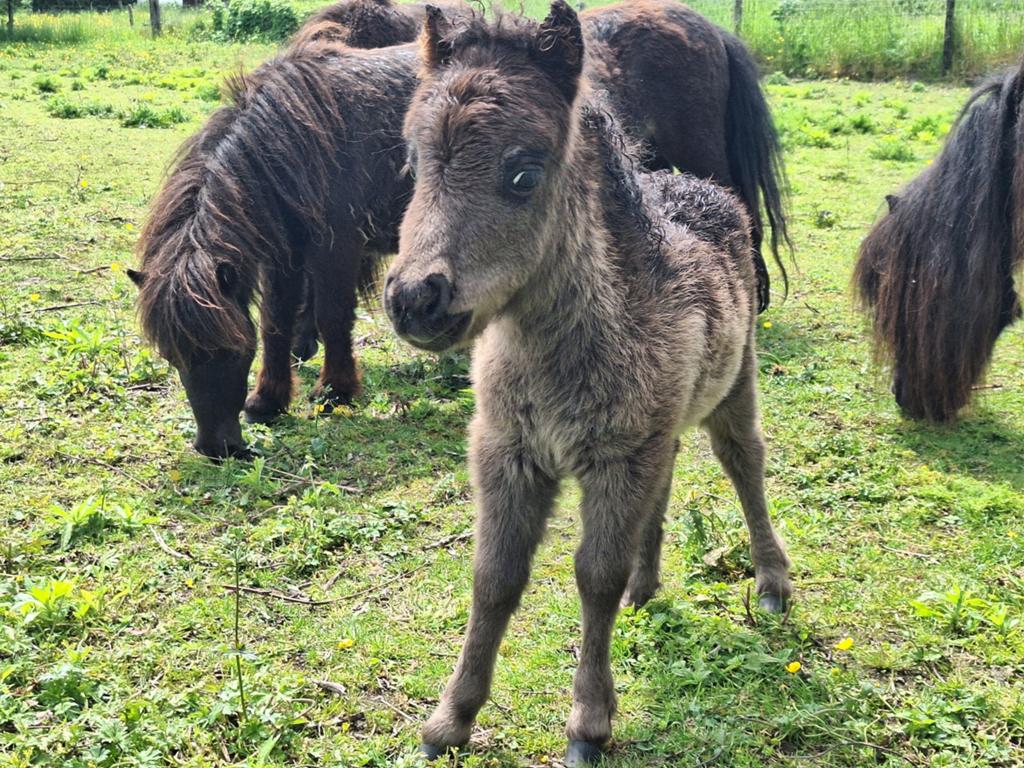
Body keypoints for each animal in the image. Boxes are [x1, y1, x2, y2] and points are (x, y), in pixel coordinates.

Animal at [130, 32, 418, 457]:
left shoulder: (337, 248)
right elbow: (275, 322)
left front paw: (335, 391)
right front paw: (268, 401)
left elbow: (332, 317)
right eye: (172, 355)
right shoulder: (286, 256)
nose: (216, 448)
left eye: (231, 350)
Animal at [383, 4, 792, 763]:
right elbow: (494, 577)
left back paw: (772, 582)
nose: (414, 299)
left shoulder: (616, 458)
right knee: (669, 478)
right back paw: (648, 583)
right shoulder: (507, 451)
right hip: (660, 428)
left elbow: (594, 576)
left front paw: (589, 724)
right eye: (413, 163)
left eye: (524, 174)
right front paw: (450, 720)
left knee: (743, 460)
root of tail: (704, 188)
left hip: (733, 383)